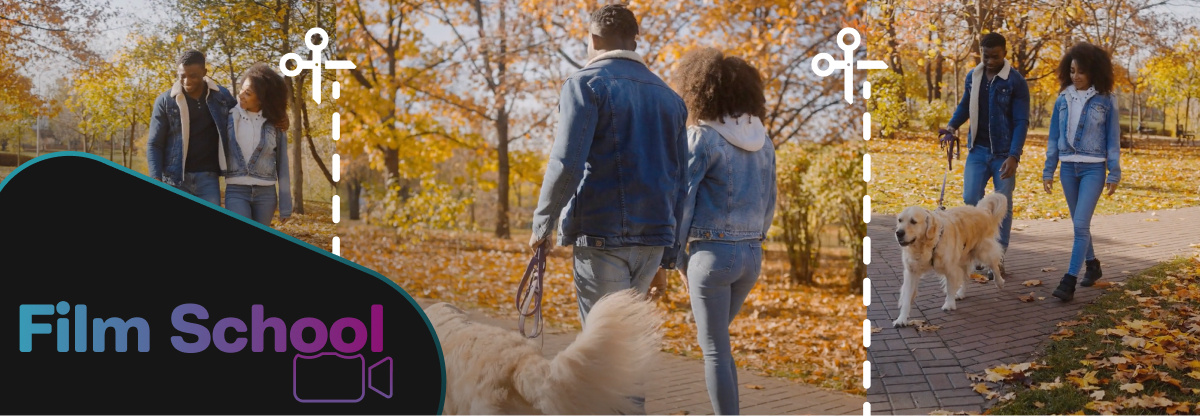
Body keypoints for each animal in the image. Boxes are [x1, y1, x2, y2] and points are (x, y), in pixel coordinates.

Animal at [892, 191, 1012, 326]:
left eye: (913, 221)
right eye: (900, 220)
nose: (899, 233)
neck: (927, 245)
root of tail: (982, 210)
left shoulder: (950, 268)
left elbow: (950, 287)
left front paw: (949, 304)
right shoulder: (911, 272)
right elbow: (907, 297)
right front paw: (901, 319)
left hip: (983, 252)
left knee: (994, 266)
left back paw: (1000, 282)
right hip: (963, 257)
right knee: (966, 276)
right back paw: (961, 293)